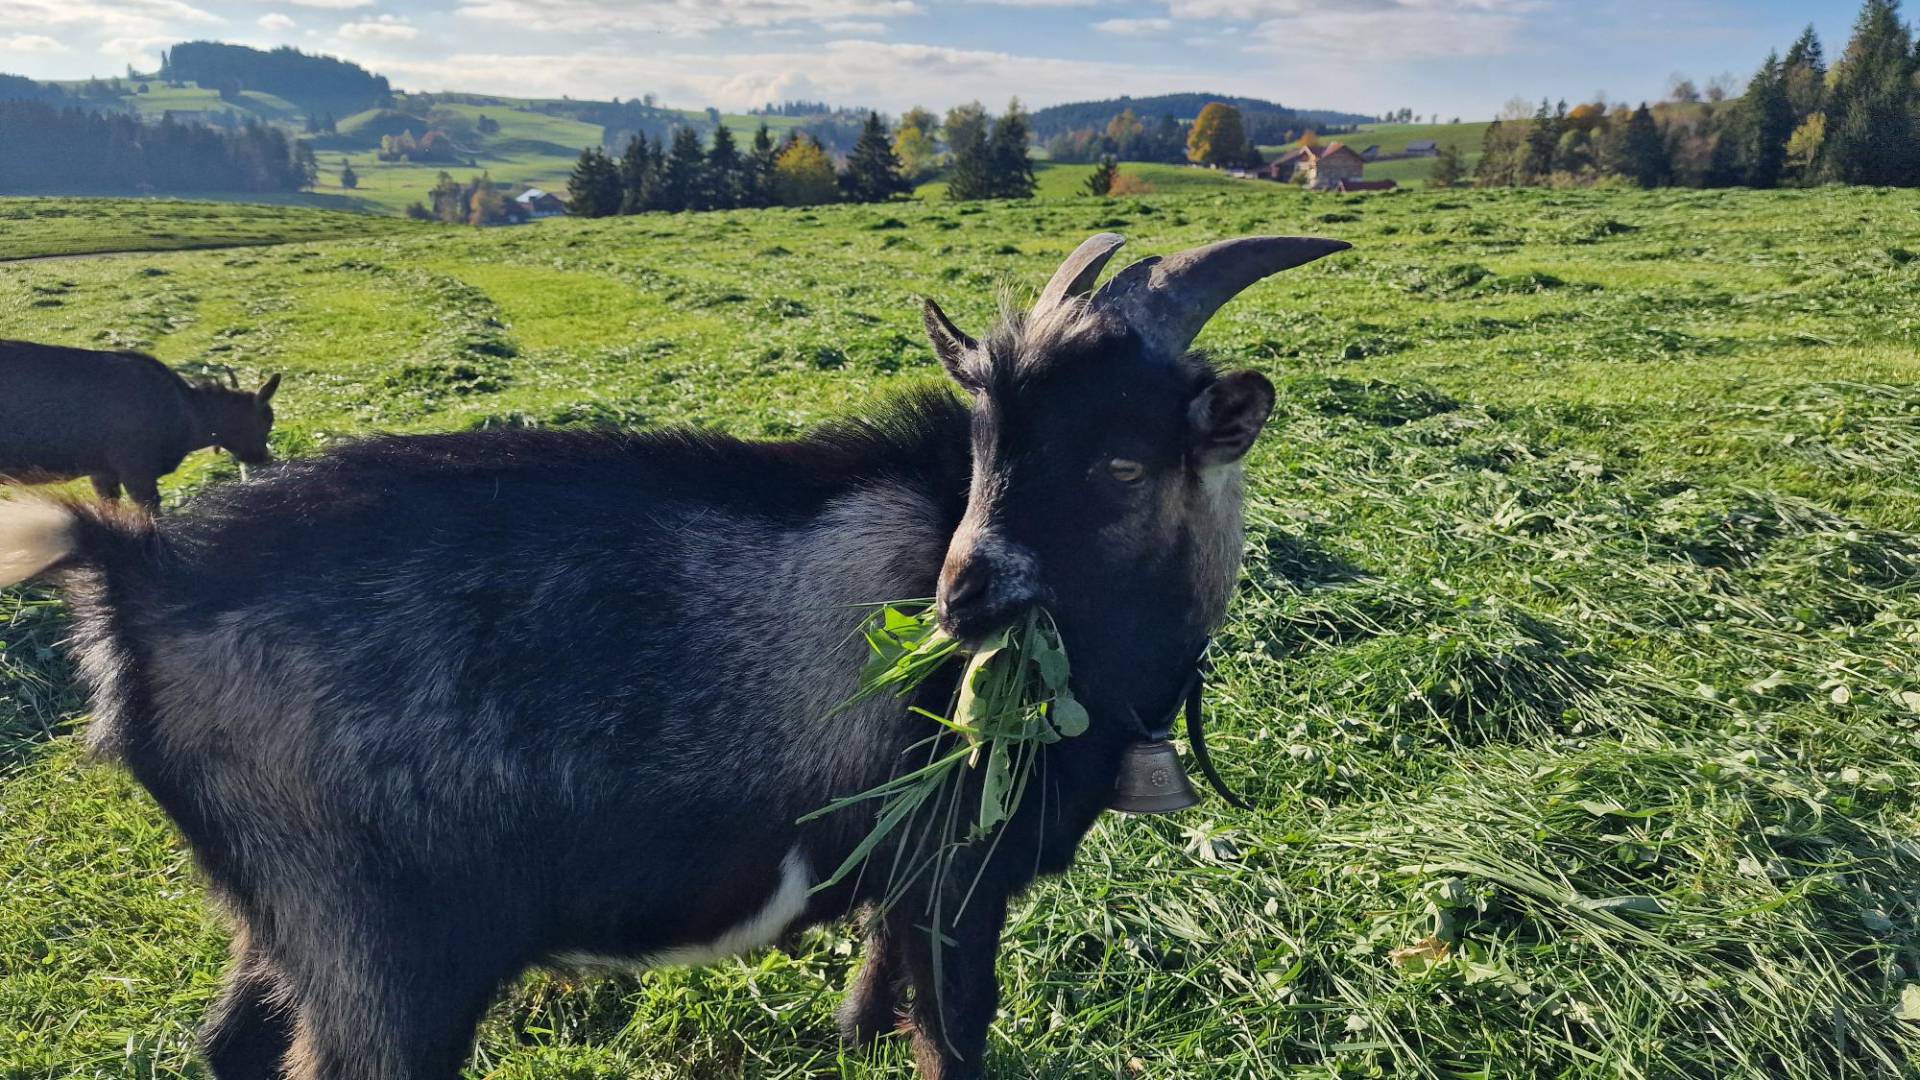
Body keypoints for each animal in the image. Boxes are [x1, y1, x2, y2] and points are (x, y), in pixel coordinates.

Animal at [0, 232, 1347, 1079]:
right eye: (984, 444)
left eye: (1121, 462)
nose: (960, 604)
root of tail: (141, 581)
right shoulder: (962, 874)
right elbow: (952, 1037)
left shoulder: (899, 877)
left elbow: (875, 999)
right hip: (379, 945)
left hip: (277, 910)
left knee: (228, 1046)